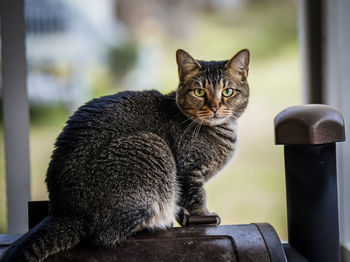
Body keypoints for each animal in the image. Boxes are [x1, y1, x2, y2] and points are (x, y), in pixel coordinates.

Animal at [1, 48, 250, 260]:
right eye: (199, 92)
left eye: (227, 91)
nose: (215, 107)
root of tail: (66, 211)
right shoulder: (189, 171)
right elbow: (197, 198)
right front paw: (204, 216)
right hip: (153, 145)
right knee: (104, 235)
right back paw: (156, 223)